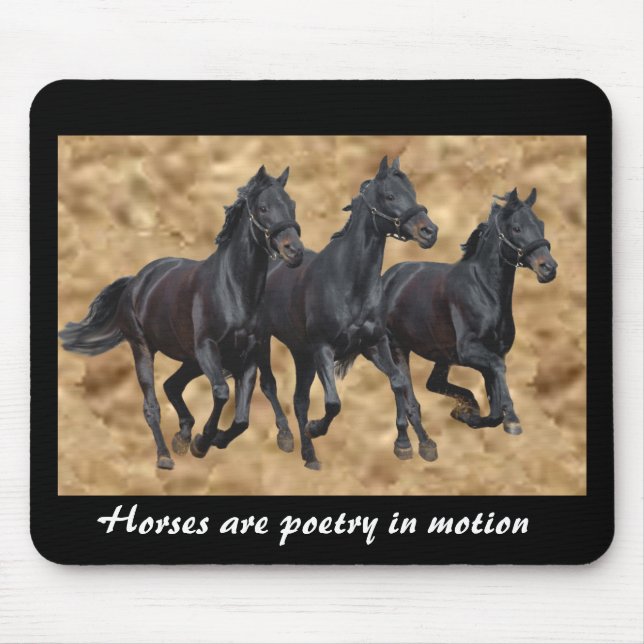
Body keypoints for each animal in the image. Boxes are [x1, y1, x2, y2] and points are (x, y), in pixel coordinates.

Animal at [59, 165, 304, 469]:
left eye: (292, 205)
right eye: (263, 207)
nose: (294, 251)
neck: (232, 290)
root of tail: (136, 280)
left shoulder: (248, 355)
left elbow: (242, 419)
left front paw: (211, 439)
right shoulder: (208, 348)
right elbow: (222, 392)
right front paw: (203, 440)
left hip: (190, 359)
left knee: (172, 385)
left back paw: (183, 435)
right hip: (144, 349)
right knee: (151, 404)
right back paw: (165, 455)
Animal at [257, 156, 439, 470]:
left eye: (413, 192)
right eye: (390, 196)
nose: (429, 232)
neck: (348, 282)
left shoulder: (374, 344)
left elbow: (398, 382)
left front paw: (408, 444)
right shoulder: (323, 349)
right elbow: (333, 402)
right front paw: (316, 428)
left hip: (302, 354)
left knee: (300, 400)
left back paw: (310, 456)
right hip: (265, 341)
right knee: (270, 385)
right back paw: (288, 437)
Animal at [379, 187, 557, 436]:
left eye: (541, 224)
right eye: (516, 228)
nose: (549, 268)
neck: (484, 291)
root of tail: (388, 277)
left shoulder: (492, 353)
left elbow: (494, 412)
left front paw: (466, 414)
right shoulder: (469, 351)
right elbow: (499, 373)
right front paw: (512, 420)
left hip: (441, 354)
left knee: (433, 383)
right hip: (398, 347)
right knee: (410, 397)